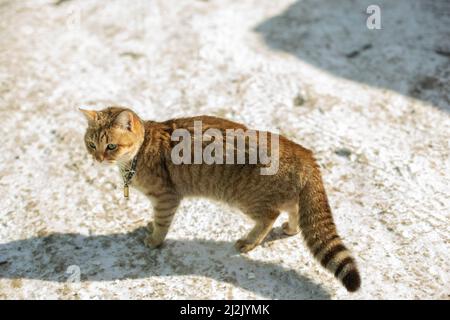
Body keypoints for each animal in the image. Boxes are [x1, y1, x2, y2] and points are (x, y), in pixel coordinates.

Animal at [81, 106, 362, 292]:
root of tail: (304, 152)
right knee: (293, 210)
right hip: (283, 196)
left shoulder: (166, 198)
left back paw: (249, 241)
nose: (98, 158)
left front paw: (154, 239)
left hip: (249, 201)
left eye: (111, 146)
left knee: (270, 216)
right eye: (91, 144)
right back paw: (290, 228)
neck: (138, 154)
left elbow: (161, 224)